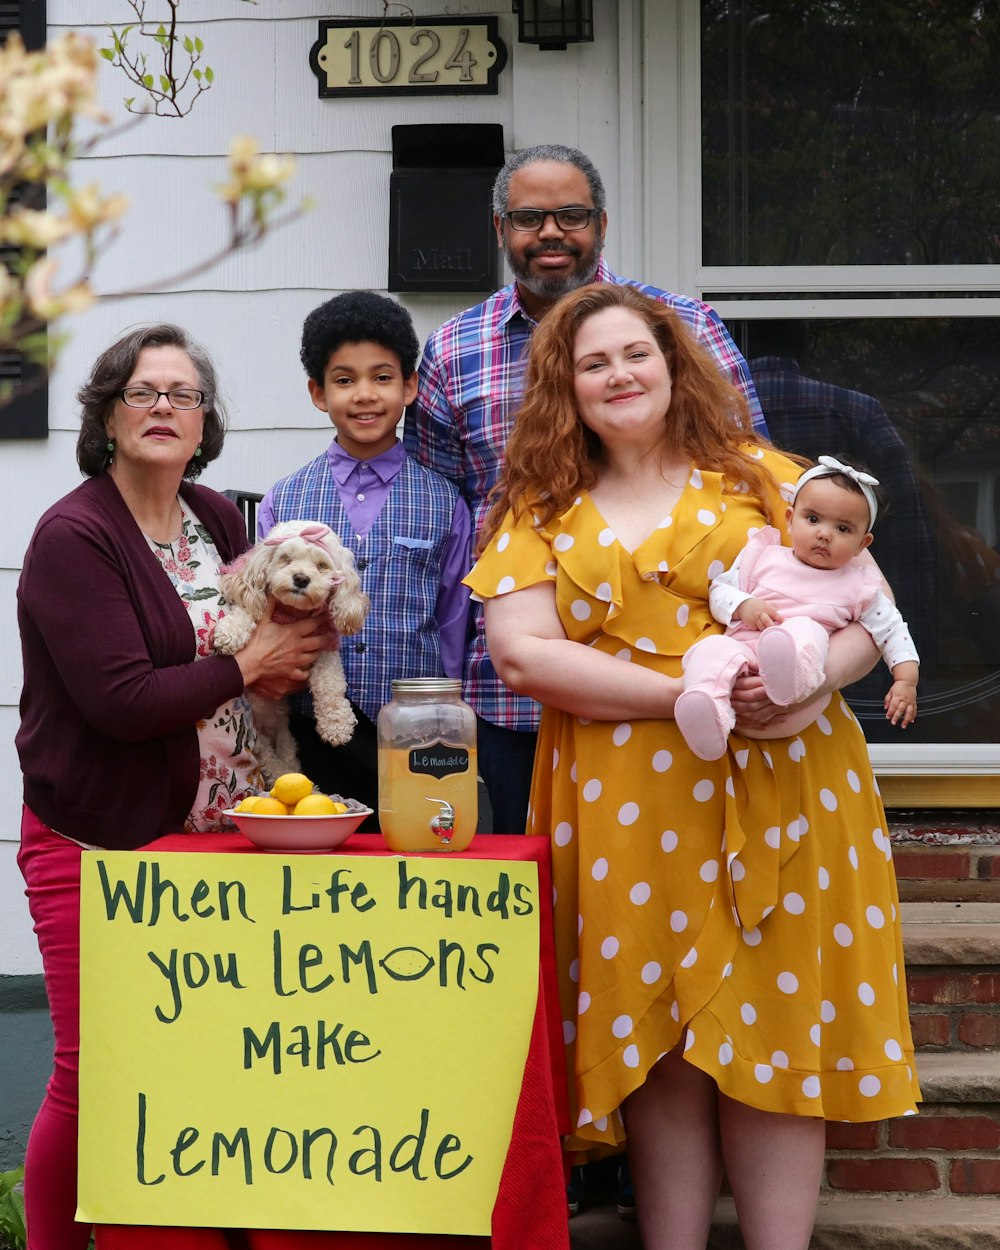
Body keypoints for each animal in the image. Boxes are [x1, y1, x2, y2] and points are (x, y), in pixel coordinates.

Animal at [212, 520, 370, 780]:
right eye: (286, 558)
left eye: (321, 566)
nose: (301, 578)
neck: (292, 612)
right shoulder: (256, 600)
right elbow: (246, 611)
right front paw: (230, 632)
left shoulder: (325, 647)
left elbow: (330, 684)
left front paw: (336, 724)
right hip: (258, 740)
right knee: (269, 761)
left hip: (283, 735)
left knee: (285, 758)